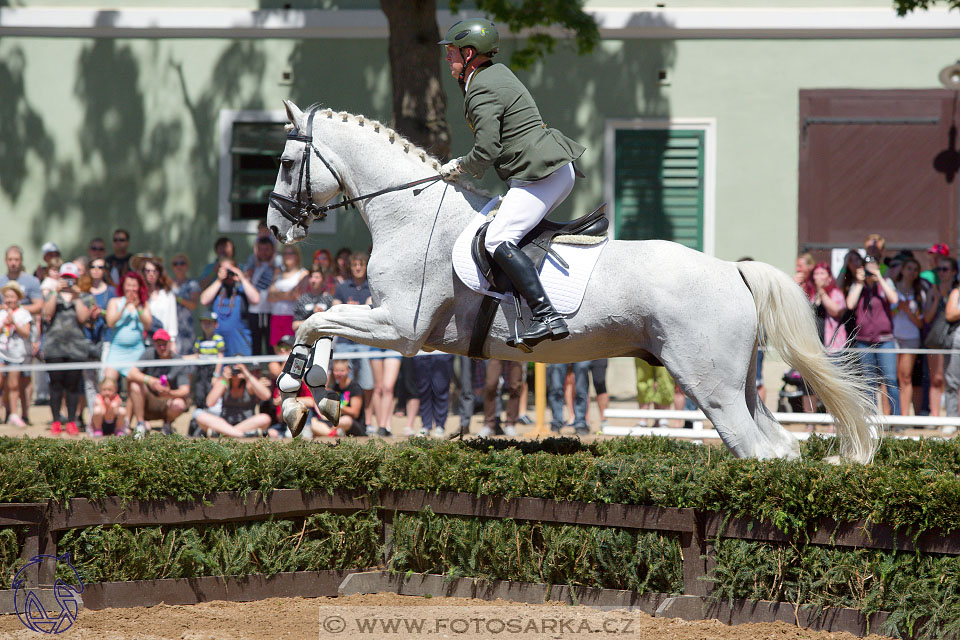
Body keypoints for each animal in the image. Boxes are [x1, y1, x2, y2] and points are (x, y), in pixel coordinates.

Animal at [266, 99, 880, 460]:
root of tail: (733, 270)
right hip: (741, 385)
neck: (411, 211)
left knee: (756, 451)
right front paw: (313, 396)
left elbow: (315, 318)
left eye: (285, 162)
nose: (274, 227)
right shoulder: (388, 322)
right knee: (780, 450)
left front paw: (295, 389)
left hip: (711, 387)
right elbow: (321, 323)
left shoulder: (402, 328)